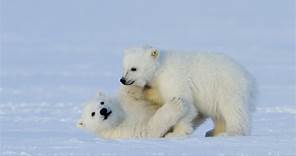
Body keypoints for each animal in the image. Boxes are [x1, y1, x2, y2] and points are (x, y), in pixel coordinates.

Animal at [120, 45, 256, 137]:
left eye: (134, 68)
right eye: (124, 67)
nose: (122, 80)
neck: (160, 68)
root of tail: (249, 79)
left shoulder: (173, 78)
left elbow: (187, 104)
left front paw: (176, 133)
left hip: (228, 87)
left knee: (233, 110)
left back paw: (232, 132)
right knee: (219, 114)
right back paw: (213, 132)